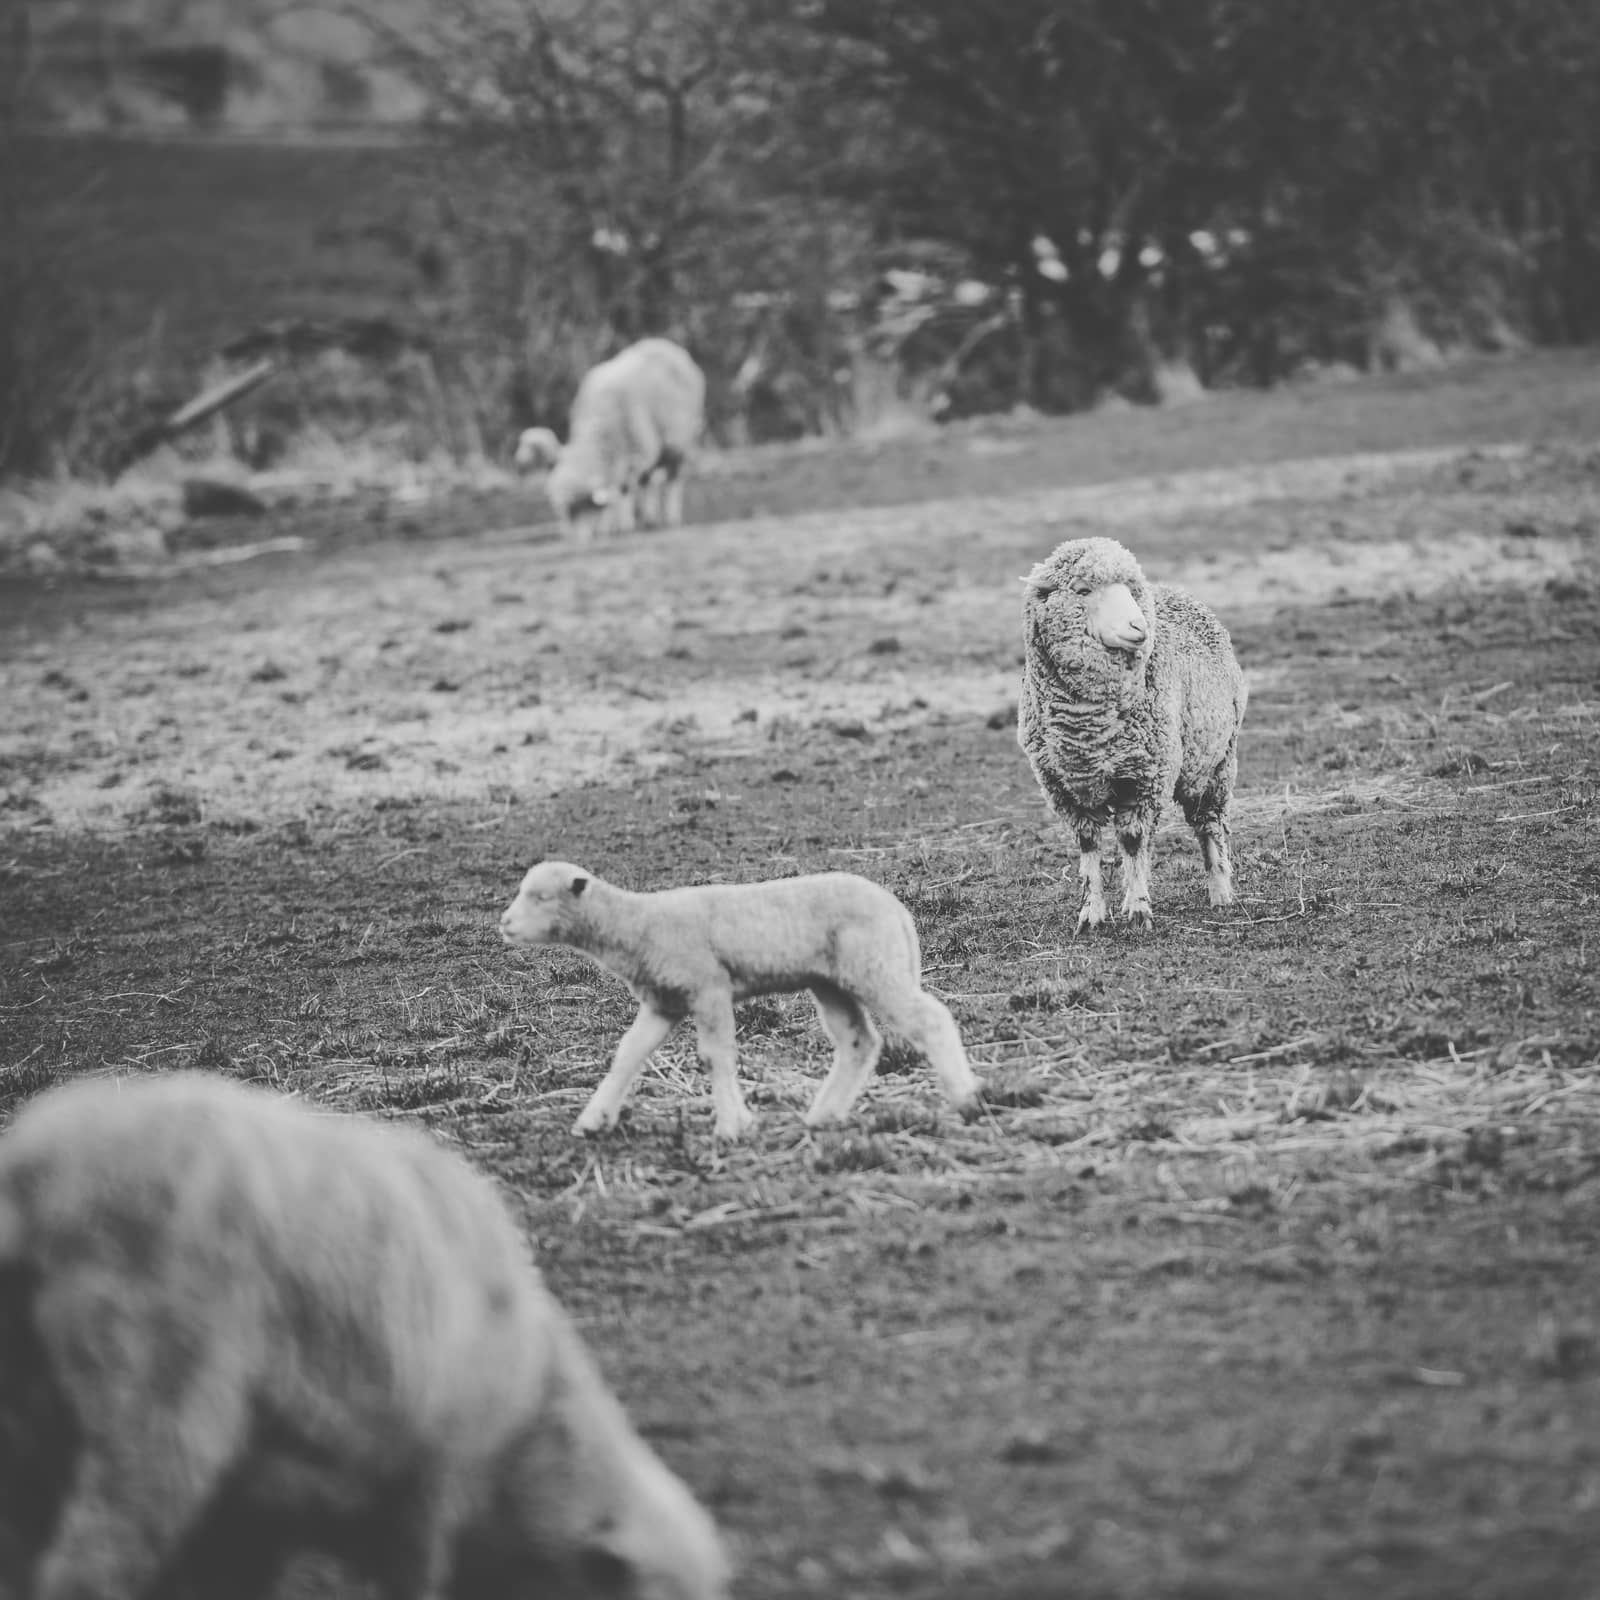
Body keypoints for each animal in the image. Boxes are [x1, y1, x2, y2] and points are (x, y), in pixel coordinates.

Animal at [0, 1068, 732, 1600]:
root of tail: (38, 1183)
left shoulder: (255, 1522)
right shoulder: (428, 1487)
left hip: (31, 1437)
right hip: (157, 1404)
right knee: (88, 1567)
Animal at [499, 857, 979, 1145]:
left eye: (541, 896)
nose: (504, 922)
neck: (636, 924)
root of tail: (895, 908)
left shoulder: (708, 987)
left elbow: (715, 1056)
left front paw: (732, 1125)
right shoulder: (664, 1001)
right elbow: (627, 1054)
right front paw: (594, 1120)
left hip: (874, 967)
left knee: (930, 1019)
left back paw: (966, 1098)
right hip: (833, 981)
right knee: (858, 1042)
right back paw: (823, 1115)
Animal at [518, 334, 707, 540]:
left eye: (581, 505)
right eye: (560, 510)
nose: (575, 540)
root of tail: (666, 345)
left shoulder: (633, 452)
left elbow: (621, 490)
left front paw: (621, 526)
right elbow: (613, 494)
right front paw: (610, 526)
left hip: (680, 441)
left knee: (674, 478)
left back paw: (671, 517)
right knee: (648, 481)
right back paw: (649, 519)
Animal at [1011, 537, 1248, 934]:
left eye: (1129, 590)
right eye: (1083, 590)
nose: (1138, 627)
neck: (1089, 729)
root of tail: (1177, 591)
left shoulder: (1143, 779)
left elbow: (1133, 841)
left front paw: (1138, 910)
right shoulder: (1066, 787)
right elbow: (1089, 844)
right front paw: (1091, 913)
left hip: (1215, 763)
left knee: (1209, 825)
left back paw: (1220, 892)